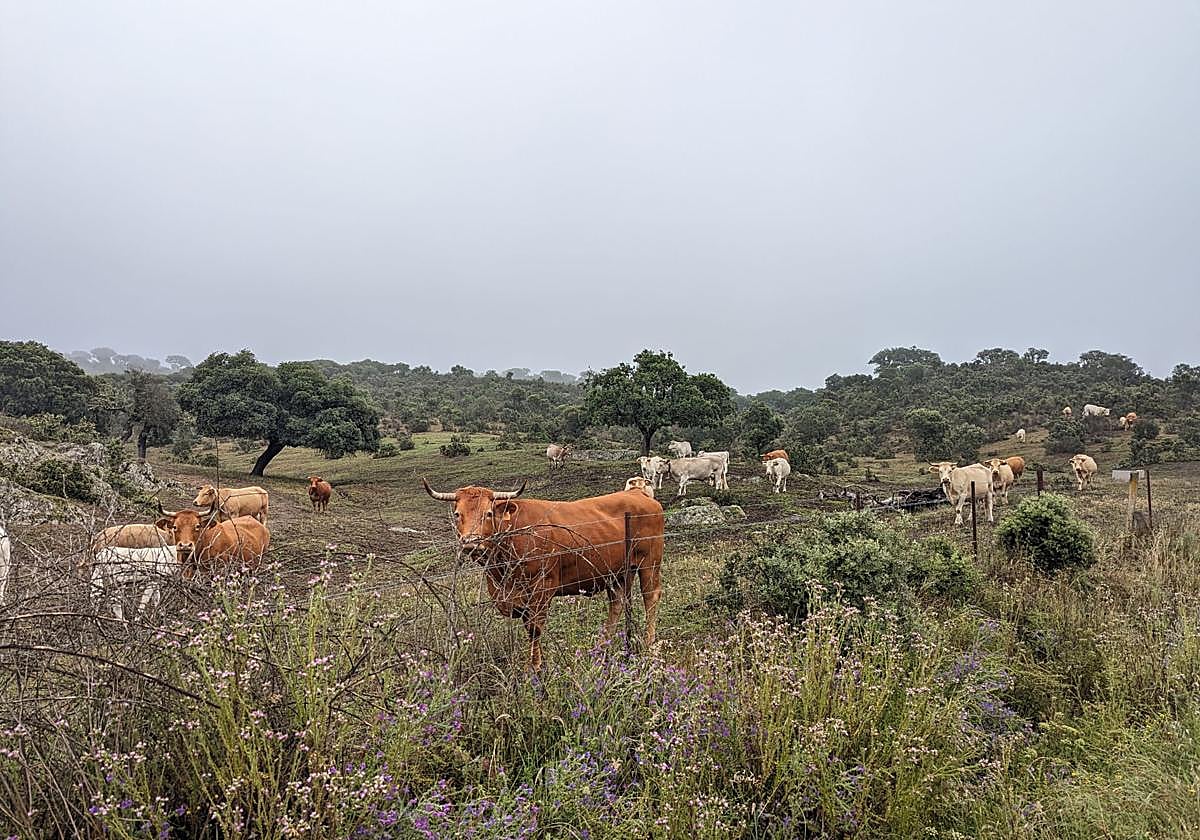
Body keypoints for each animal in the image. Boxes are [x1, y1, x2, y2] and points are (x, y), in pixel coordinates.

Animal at [422, 479, 664, 671]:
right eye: (457, 514)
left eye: (488, 514)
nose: (471, 543)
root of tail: (637, 493)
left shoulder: (541, 589)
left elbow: (535, 630)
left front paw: (536, 668)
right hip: (617, 573)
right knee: (617, 603)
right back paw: (601, 649)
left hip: (650, 563)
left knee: (650, 598)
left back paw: (649, 646)